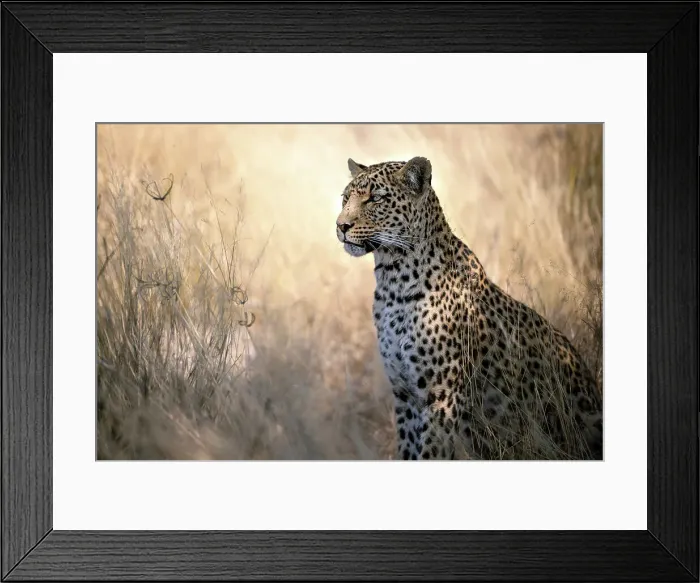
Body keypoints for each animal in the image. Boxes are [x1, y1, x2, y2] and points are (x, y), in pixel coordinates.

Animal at [335, 156, 603, 461]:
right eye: (345, 198)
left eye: (375, 199)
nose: (341, 226)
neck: (393, 281)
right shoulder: (405, 396)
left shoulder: (441, 397)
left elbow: (431, 454)